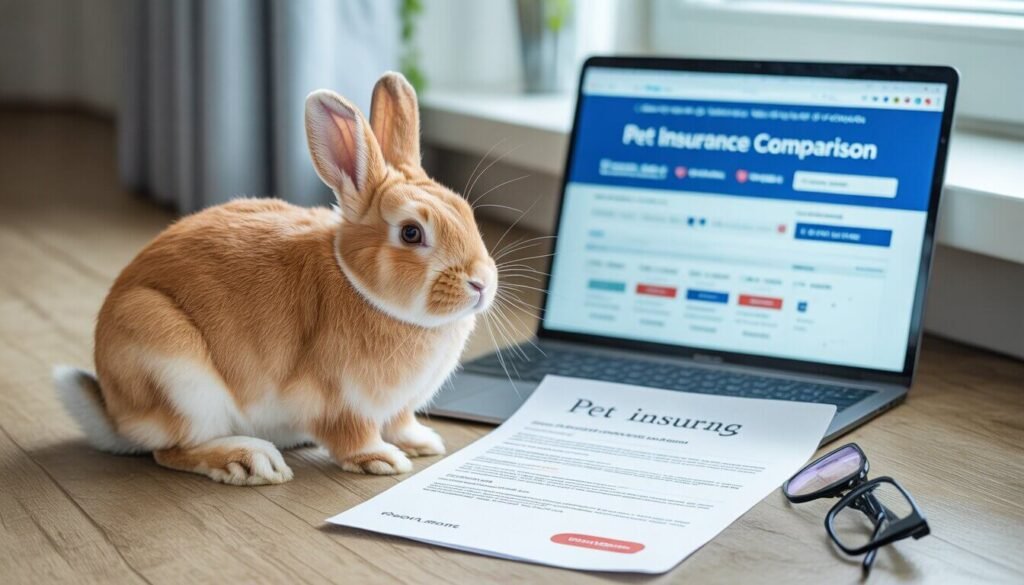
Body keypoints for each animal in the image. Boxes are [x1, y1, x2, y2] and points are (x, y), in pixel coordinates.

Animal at [52, 72, 498, 485]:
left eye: (465, 212)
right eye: (411, 233)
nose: (481, 283)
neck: (359, 285)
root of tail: (116, 414)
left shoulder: (399, 406)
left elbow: (401, 422)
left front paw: (423, 443)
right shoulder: (340, 400)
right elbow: (354, 435)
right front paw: (383, 460)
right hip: (173, 372)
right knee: (173, 449)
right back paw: (250, 462)